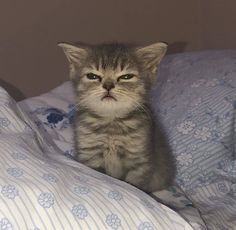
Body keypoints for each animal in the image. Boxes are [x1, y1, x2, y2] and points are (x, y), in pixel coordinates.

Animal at [58, 41, 173, 192]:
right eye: (92, 76)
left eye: (126, 77)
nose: (108, 85)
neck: (111, 122)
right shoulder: (90, 154)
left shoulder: (139, 160)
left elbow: (135, 185)